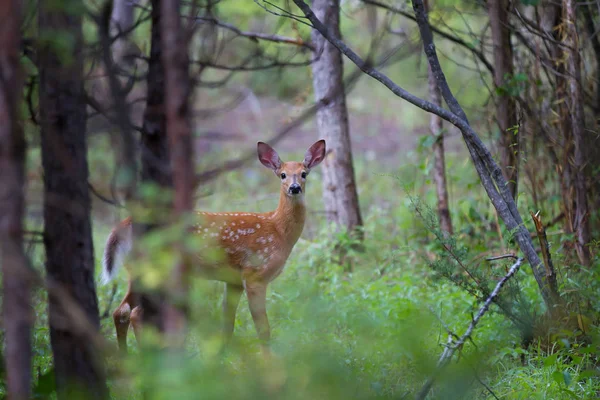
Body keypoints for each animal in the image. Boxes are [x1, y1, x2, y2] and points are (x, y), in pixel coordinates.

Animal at [103, 139, 328, 354]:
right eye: (282, 175)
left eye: (304, 174)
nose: (294, 188)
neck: (278, 230)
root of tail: (126, 223)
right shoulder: (255, 273)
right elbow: (263, 329)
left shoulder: (234, 281)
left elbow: (227, 325)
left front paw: (222, 357)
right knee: (135, 313)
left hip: (137, 269)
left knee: (121, 311)